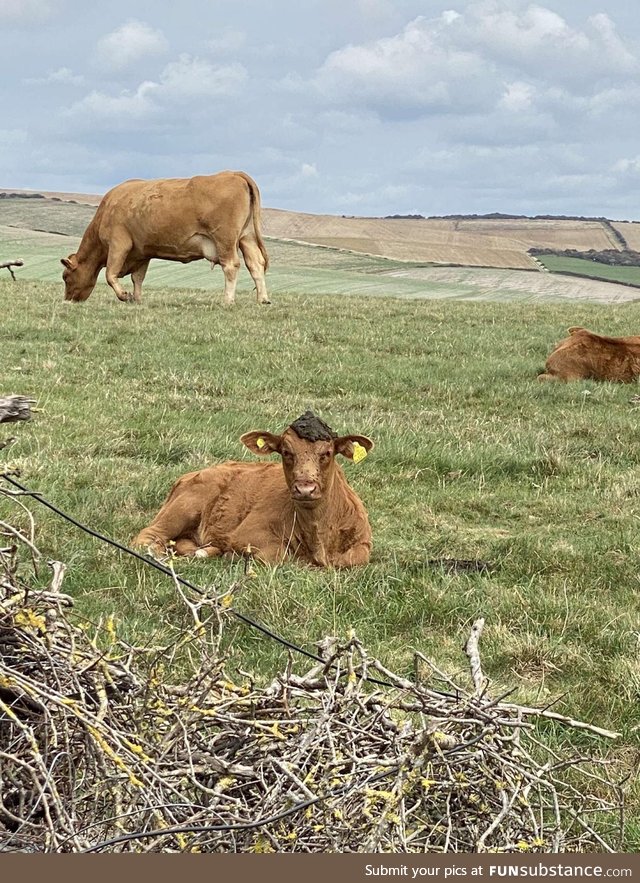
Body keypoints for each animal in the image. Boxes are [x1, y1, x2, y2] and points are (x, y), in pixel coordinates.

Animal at [60, 171, 270, 306]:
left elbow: (110, 274)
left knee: (231, 266)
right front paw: (137, 299)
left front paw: (125, 296)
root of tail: (233, 173)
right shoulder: (142, 252)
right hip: (247, 237)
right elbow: (138, 278)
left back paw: (228, 301)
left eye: (65, 277)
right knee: (255, 264)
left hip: (225, 239)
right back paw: (263, 299)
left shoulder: (119, 244)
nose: (68, 300)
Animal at [135, 412, 376, 568]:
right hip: (183, 508)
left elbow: (351, 559)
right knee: (146, 536)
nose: (305, 488)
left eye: (327, 453)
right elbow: (279, 555)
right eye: (286, 452)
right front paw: (234, 556)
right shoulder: (246, 534)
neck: (319, 536)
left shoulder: (363, 544)